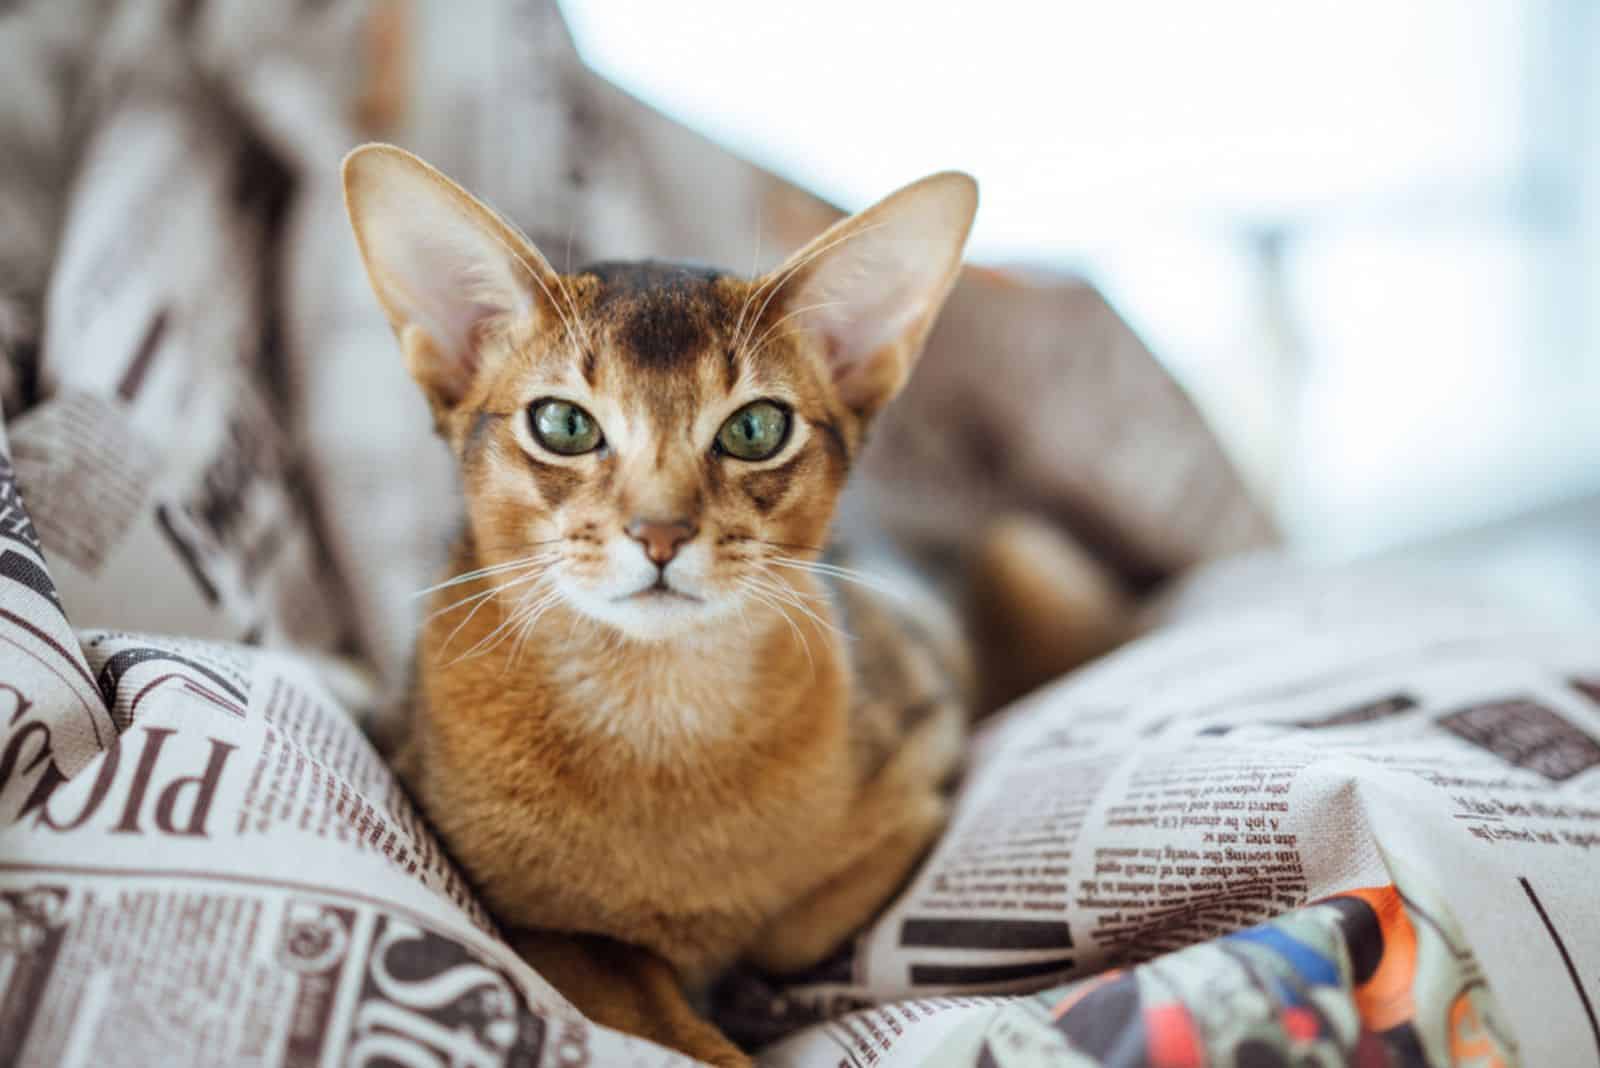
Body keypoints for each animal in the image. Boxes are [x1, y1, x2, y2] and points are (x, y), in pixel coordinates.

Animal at [339, 146, 1062, 1061]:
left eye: (755, 429)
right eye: (562, 425)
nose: (659, 533)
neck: (654, 715)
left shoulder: (927, 753)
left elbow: (786, 923)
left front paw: (735, 967)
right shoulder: (498, 895)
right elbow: (619, 971)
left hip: (1026, 554)